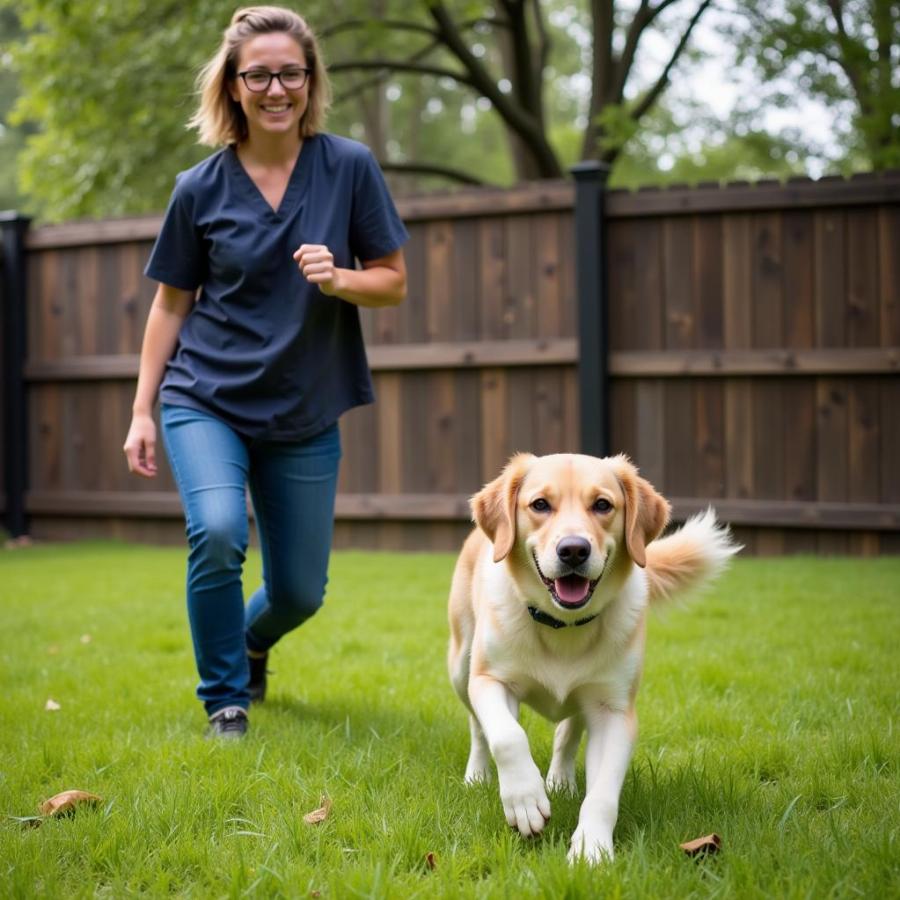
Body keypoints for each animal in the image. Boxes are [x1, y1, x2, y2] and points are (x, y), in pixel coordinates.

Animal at [448, 454, 740, 860]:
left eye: (602, 505)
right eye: (540, 504)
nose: (573, 549)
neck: (563, 626)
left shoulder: (613, 710)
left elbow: (603, 791)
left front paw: (592, 850)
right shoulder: (490, 681)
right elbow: (508, 737)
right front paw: (524, 799)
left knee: (568, 732)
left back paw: (560, 780)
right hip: (461, 668)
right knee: (479, 729)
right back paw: (478, 776)